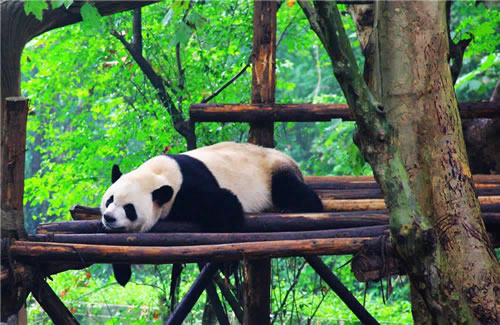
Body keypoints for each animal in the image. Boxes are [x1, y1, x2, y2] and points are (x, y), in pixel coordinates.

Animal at [99, 142, 322, 284]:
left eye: (129, 208)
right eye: (110, 200)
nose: (109, 218)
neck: (158, 175)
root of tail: (290, 159)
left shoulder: (186, 188)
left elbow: (226, 205)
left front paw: (228, 265)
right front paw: (122, 272)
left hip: (271, 171)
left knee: (289, 188)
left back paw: (297, 207)